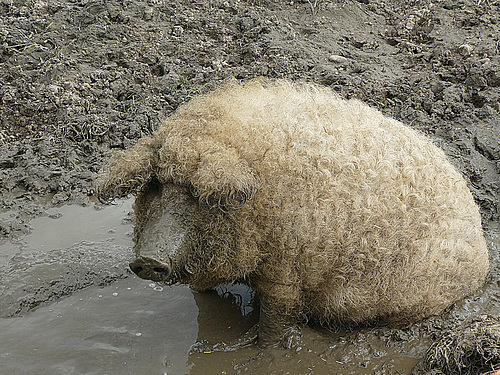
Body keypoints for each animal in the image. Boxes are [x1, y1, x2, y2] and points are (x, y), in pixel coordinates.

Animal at [95, 79, 490, 350]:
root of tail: (483, 255)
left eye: (197, 194)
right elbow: (201, 295)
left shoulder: (287, 269)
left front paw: (264, 352)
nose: (148, 260)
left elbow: (274, 319)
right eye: (154, 184)